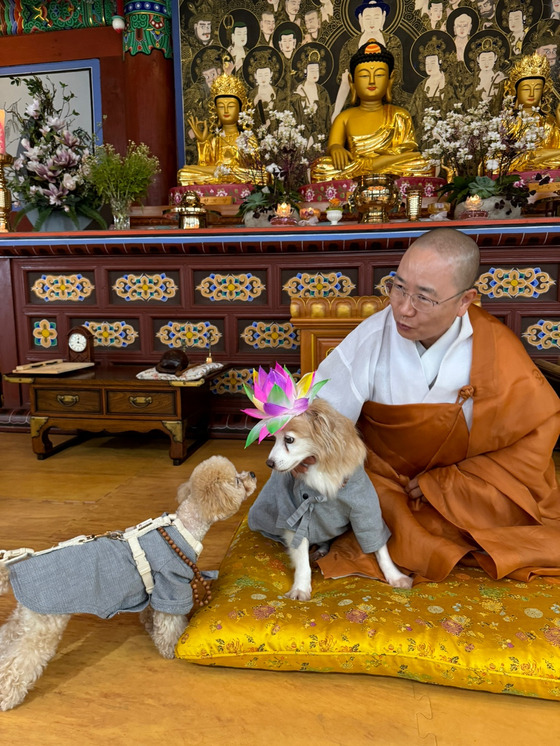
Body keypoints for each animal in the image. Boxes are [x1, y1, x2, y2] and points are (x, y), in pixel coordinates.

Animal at [0, 454, 256, 708]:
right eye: (237, 480)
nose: (253, 474)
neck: (184, 527)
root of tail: (13, 569)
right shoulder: (171, 584)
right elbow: (170, 623)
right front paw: (172, 648)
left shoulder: (155, 589)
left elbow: (153, 614)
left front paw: (151, 628)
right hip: (44, 625)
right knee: (17, 662)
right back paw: (6, 697)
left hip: (27, 618)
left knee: (7, 638)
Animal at [249, 398, 412, 600]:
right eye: (274, 439)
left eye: (289, 440)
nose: (269, 463)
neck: (321, 469)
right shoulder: (296, 514)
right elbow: (302, 559)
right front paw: (301, 588)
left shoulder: (365, 509)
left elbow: (380, 547)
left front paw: (395, 576)